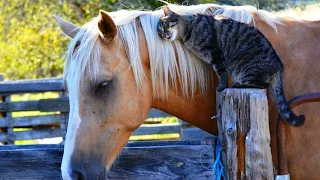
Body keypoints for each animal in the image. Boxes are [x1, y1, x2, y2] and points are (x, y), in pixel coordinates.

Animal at [158, 5, 304, 126]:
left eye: (165, 25)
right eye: (159, 32)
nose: (164, 34)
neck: (188, 29)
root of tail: (279, 66)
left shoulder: (216, 54)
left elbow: (221, 73)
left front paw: (221, 86)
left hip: (247, 68)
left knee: (261, 84)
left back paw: (238, 85)